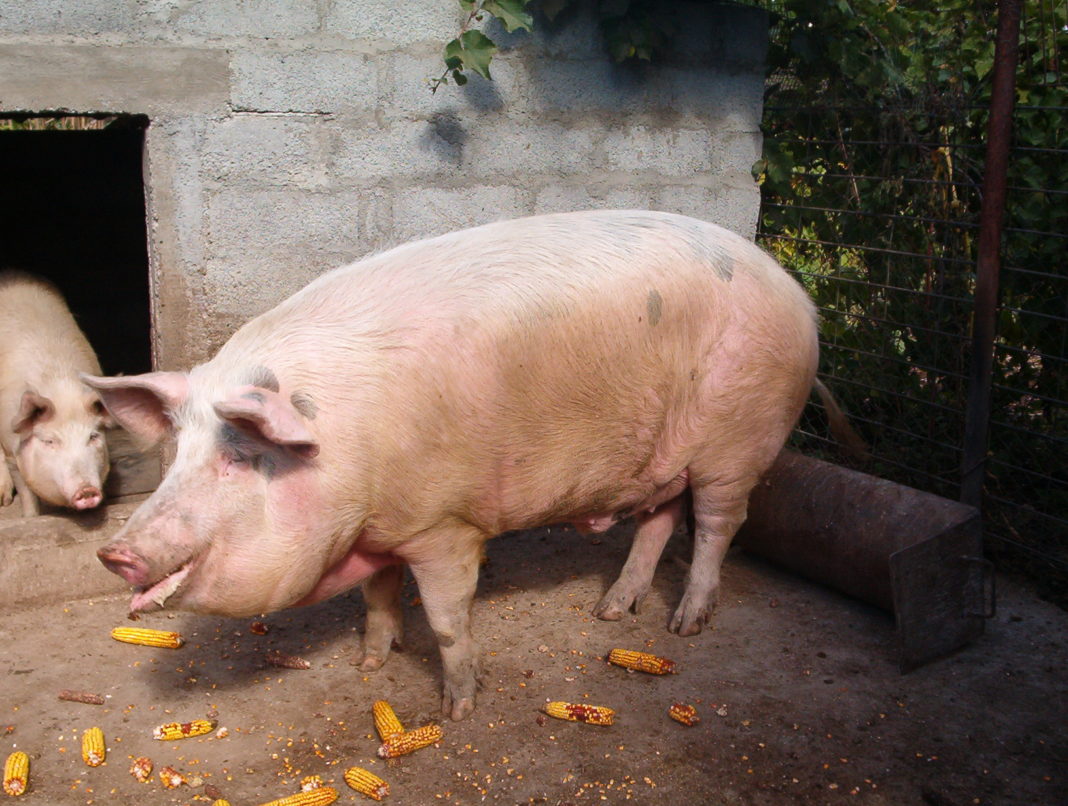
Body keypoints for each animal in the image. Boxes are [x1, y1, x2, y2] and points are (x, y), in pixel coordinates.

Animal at [0, 271, 110, 516]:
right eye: (49, 441)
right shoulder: (11, 447)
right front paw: (31, 518)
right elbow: (26, 492)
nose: (86, 490)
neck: (60, 387)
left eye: (93, 436)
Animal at [91, 209, 820, 717]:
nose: (114, 552)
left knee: (720, 526)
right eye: (179, 453)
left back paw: (685, 625)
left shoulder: (442, 526)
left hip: (737, 444)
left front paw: (457, 709)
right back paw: (611, 614)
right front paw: (370, 665)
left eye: (240, 457)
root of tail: (799, 294)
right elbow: (378, 597)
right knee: (659, 519)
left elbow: (446, 620)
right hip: (662, 456)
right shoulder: (383, 528)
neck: (349, 451)